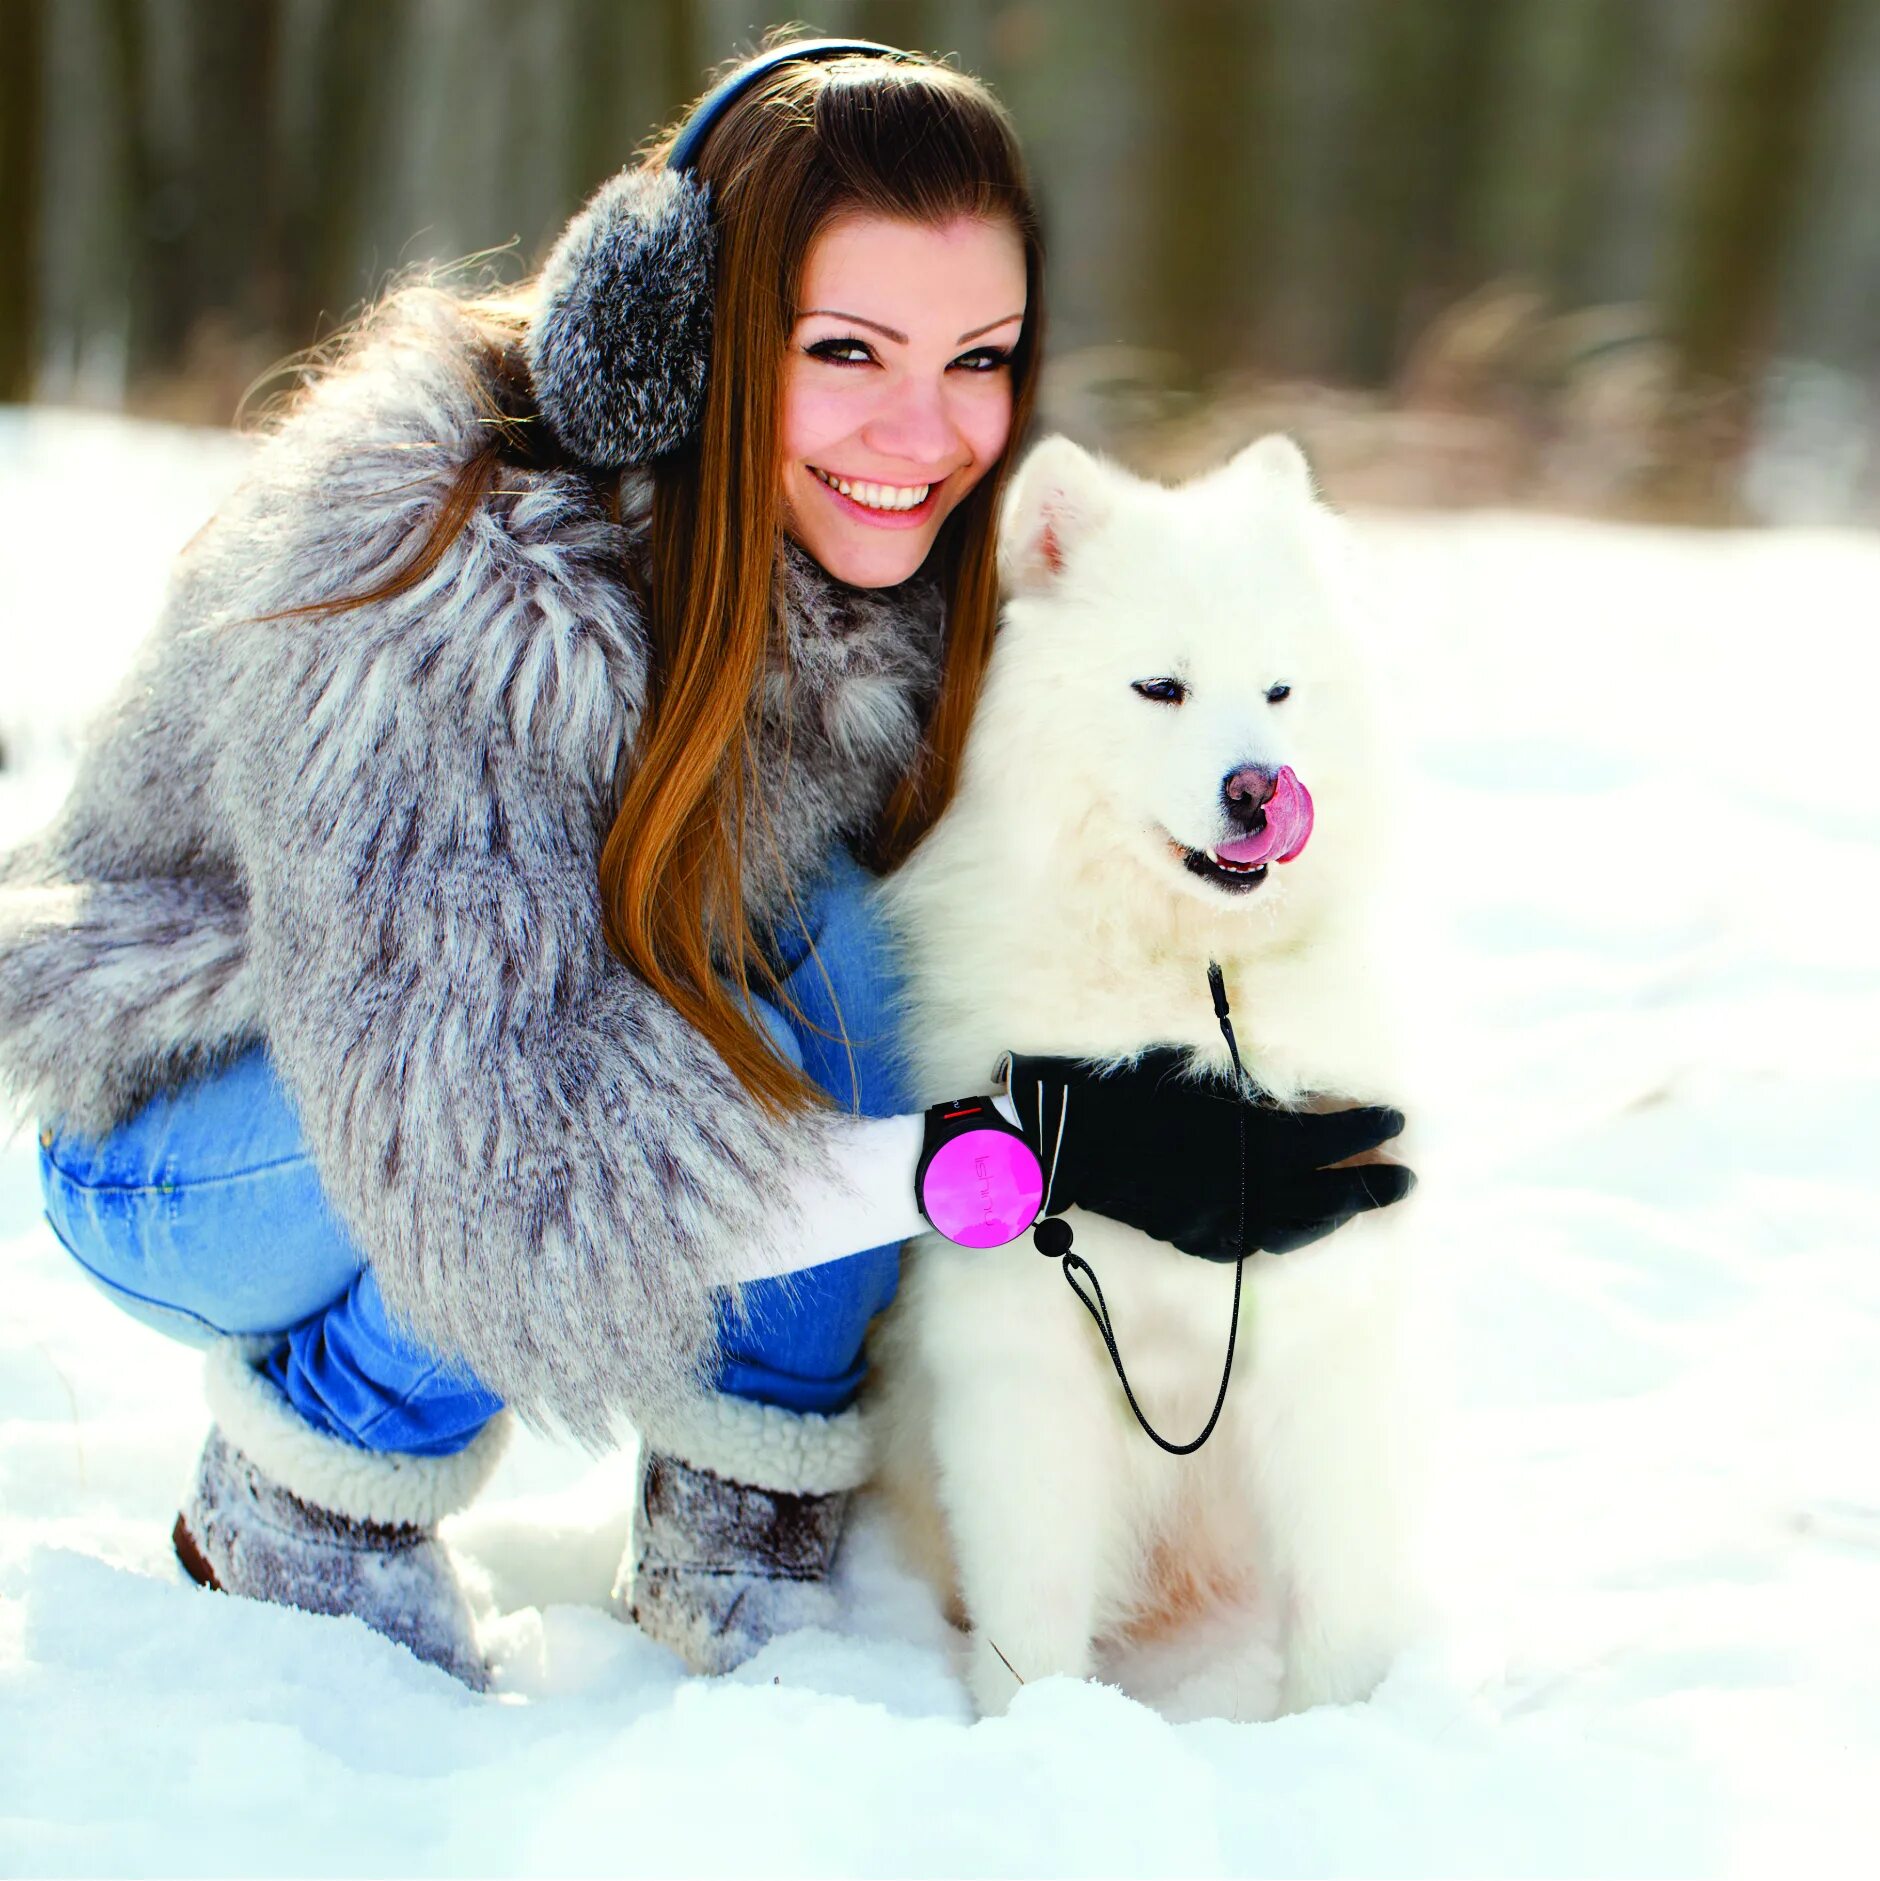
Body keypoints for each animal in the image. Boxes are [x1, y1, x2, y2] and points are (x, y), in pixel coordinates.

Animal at [873, 430, 1430, 1722]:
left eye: (1277, 691)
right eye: (1160, 689)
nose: (1257, 787)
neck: (1189, 991)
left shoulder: (1321, 1304)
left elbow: (1337, 1587)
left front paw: (1334, 1727)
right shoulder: (1023, 1350)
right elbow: (1031, 1596)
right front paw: (1035, 1730)